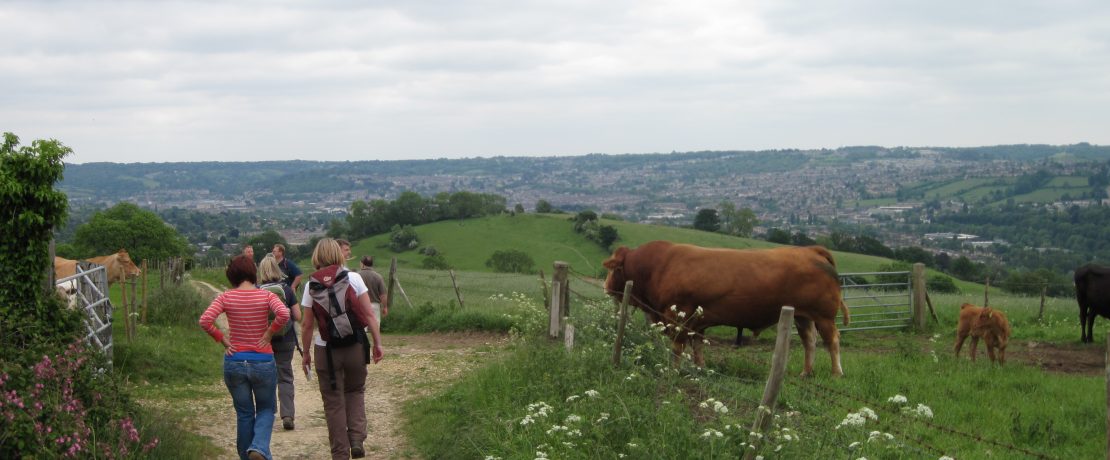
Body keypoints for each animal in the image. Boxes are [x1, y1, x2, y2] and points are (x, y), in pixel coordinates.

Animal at [608, 241, 848, 377]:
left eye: (614, 268)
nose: (607, 286)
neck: (659, 265)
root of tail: (811, 250)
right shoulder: (698, 321)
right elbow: (697, 346)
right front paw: (700, 367)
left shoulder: (679, 316)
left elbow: (678, 346)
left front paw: (674, 370)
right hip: (802, 316)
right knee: (810, 342)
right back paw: (806, 372)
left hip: (824, 317)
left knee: (832, 341)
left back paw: (836, 373)